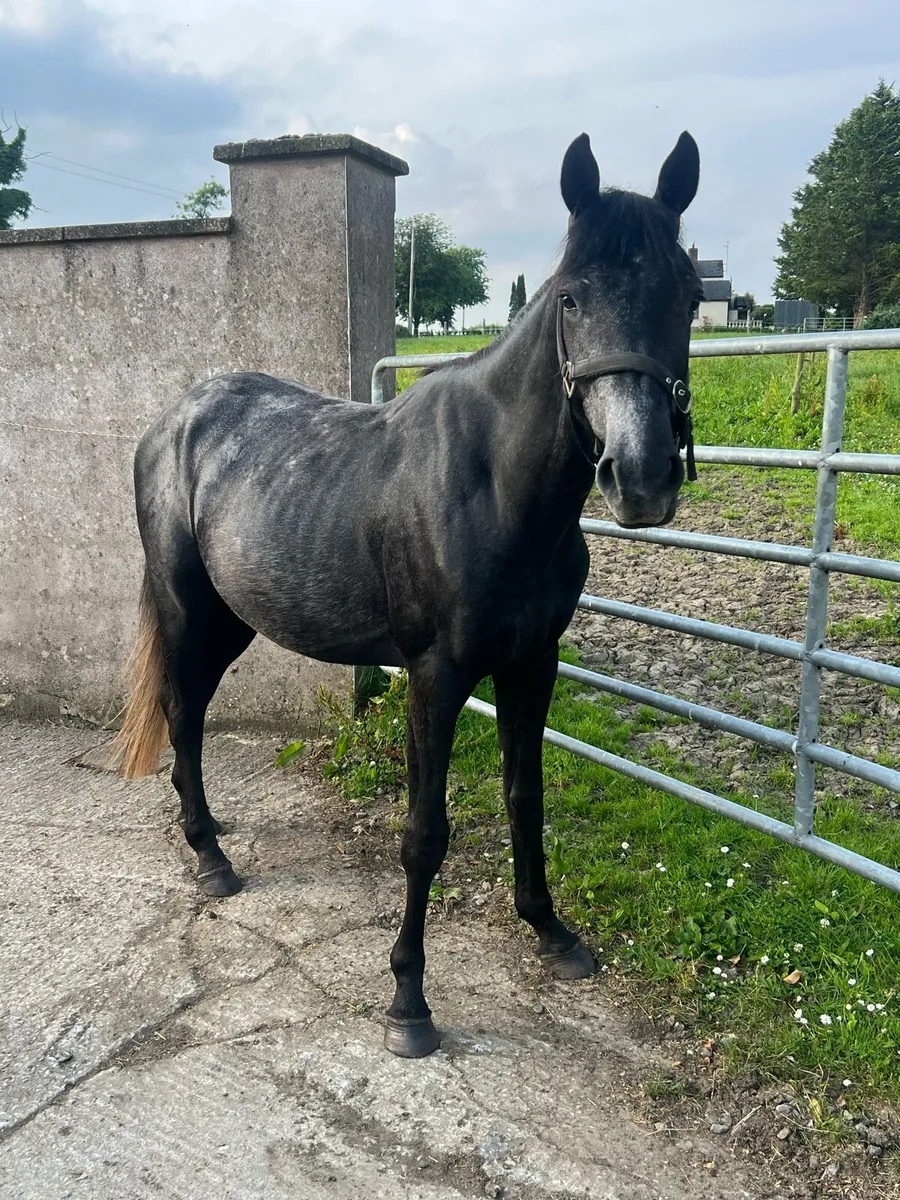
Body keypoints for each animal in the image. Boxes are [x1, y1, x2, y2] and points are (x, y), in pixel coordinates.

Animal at [115, 130, 702, 1058]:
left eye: (687, 296)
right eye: (571, 299)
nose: (640, 478)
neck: (496, 487)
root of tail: (175, 418)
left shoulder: (533, 666)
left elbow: (525, 799)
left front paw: (552, 933)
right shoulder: (436, 676)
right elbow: (425, 834)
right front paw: (408, 1001)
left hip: (233, 620)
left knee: (194, 714)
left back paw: (208, 834)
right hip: (185, 607)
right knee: (180, 709)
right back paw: (209, 858)